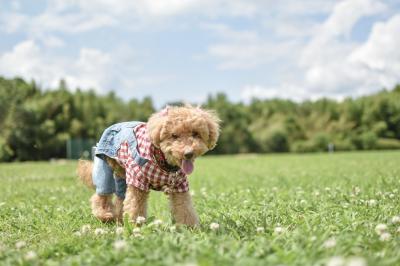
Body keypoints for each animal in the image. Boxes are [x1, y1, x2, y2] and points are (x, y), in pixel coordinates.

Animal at [76, 104, 220, 227]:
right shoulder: (137, 182)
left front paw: (190, 228)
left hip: (123, 175)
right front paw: (135, 226)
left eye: (195, 134)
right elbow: (135, 207)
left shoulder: (180, 186)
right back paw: (105, 214)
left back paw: (119, 219)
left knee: (120, 198)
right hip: (105, 165)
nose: (188, 153)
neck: (163, 162)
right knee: (101, 194)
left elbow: (185, 208)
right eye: (174, 135)